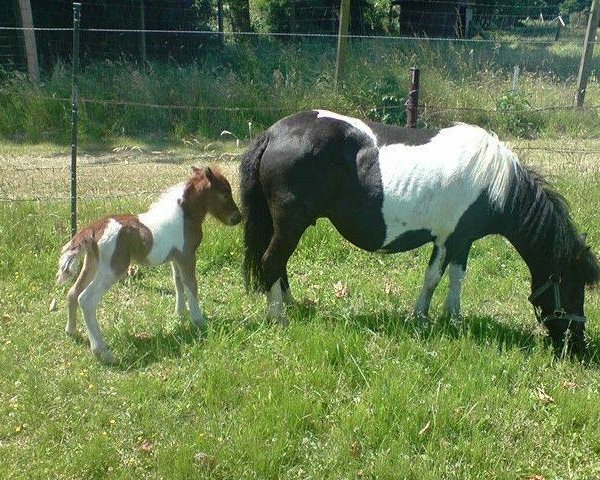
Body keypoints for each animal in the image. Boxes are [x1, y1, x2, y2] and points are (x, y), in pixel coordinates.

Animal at [56, 166, 241, 364]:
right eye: (225, 192)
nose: (238, 217)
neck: (184, 217)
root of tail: (93, 229)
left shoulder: (176, 259)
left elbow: (178, 283)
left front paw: (180, 314)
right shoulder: (188, 257)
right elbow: (192, 286)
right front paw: (199, 321)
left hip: (92, 264)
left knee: (72, 292)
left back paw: (72, 331)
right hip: (112, 269)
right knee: (86, 299)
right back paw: (103, 353)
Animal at [241, 110, 600, 354]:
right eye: (572, 288)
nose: (578, 347)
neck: (493, 184)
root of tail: (272, 134)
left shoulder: (462, 241)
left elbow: (456, 277)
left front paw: (452, 318)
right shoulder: (447, 239)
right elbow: (433, 278)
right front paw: (421, 318)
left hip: (285, 226)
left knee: (279, 264)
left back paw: (292, 304)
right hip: (290, 224)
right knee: (272, 261)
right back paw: (279, 318)